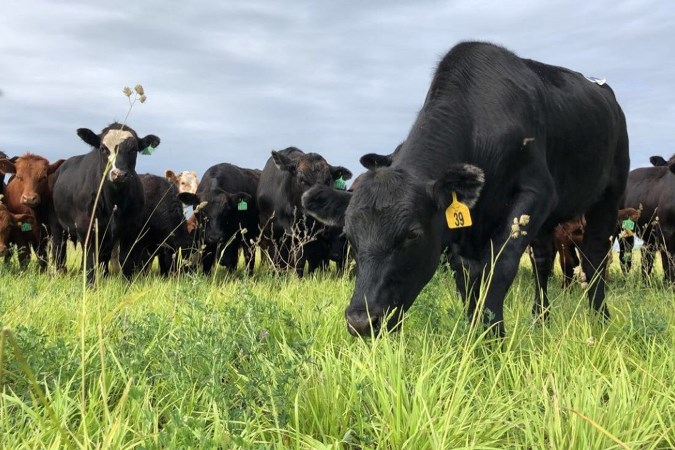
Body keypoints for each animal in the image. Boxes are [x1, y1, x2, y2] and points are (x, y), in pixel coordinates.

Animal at [49, 122, 160, 284]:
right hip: (57, 224)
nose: (118, 174)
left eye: (133, 149)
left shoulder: (131, 230)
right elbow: (90, 259)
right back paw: (61, 274)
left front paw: (125, 285)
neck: (114, 201)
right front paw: (90, 284)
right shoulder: (87, 227)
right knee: (59, 250)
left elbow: (125, 260)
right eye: (103, 148)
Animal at [304, 42, 632, 336]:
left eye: (412, 234)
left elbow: (499, 266)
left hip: (609, 192)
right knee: (542, 260)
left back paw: (600, 319)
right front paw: (474, 332)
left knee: (594, 255)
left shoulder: (536, 191)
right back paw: (540, 320)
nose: (361, 320)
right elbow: (467, 276)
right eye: (349, 235)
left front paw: (492, 338)